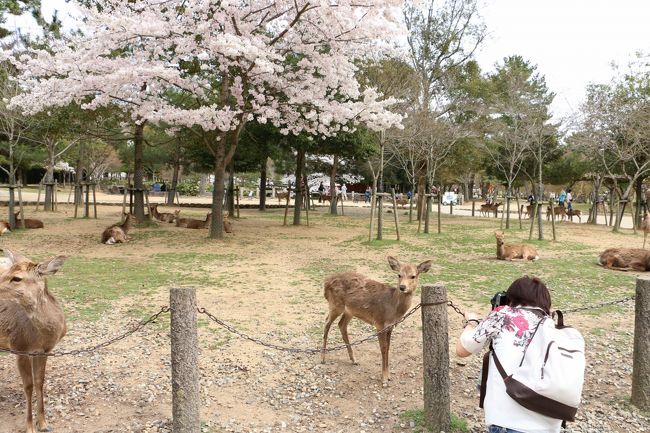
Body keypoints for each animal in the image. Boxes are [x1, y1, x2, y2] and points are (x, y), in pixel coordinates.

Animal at [0, 250, 67, 433]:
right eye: (5, 274)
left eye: (16, 278)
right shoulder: (19, 347)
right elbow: (28, 386)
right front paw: (29, 427)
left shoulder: (44, 351)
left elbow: (39, 382)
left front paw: (43, 423)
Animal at [321, 256, 432, 384]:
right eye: (399, 275)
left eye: (413, 276)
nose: (402, 287)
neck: (392, 307)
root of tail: (326, 283)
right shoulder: (379, 322)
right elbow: (383, 348)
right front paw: (384, 379)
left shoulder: (390, 326)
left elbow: (388, 347)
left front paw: (388, 376)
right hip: (335, 304)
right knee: (327, 323)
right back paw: (323, 358)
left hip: (349, 310)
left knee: (341, 324)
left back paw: (354, 360)